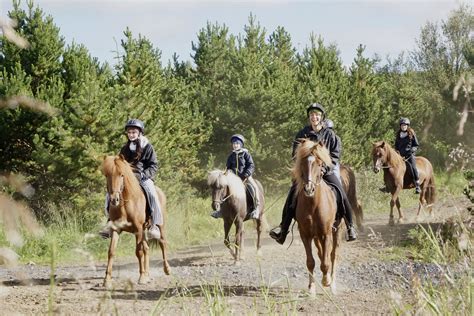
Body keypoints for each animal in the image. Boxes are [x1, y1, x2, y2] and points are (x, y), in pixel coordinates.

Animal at [101, 156, 171, 286]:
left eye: (122, 175)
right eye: (107, 175)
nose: (114, 199)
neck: (125, 205)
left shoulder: (138, 229)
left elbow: (139, 252)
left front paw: (142, 277)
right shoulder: (116, 229)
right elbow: (111, 252)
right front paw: (107, 280)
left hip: (160, 225)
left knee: (162, 243)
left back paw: (167, 269)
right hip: (144, 231)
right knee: (147, 248)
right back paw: (148, 274)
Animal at [290, 139, 342, 296]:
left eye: (319, 164)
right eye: (302, 163)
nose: (309, 189)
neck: (314, 204)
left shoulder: (326, 233)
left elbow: (326, 261)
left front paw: (326, 281)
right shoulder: (305, 234)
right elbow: (310, 261)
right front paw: (311, 288)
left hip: (337, 230)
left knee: (333, 255)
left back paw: (332, 285)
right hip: (316, 236)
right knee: (320, 253)